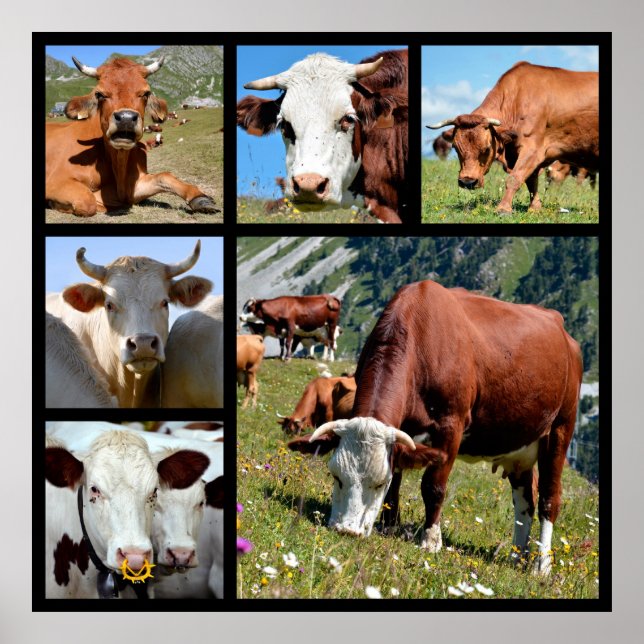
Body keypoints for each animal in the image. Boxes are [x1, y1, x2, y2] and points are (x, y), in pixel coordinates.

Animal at [45, 56, 218, 216]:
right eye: (99, 94)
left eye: (146, 93)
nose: (126, 118)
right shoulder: (56, 181)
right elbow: (88, 202)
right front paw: (54, 203)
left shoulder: (134, 186)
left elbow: (164, 176)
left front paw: (200, 197)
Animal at [288, 280, 582, 575]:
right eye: (336, 476)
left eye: (378, 482)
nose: (346, 530)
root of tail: (561, 327)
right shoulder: (401, 433)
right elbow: (396, 483)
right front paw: (389, 526)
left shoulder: (451, 426)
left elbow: (433, 486)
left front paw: (431, 539)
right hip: (519, 446)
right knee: (525, 501)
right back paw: (516, 556)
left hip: (560, 429)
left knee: (549, 497)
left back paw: (541, 564)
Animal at [426, 62, 598, 214]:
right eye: (455, 147)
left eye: (487, 148)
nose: (467, 181)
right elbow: (531, 182)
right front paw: (534, 208)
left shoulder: (533, 149)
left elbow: (514, 178)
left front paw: (503, 209)